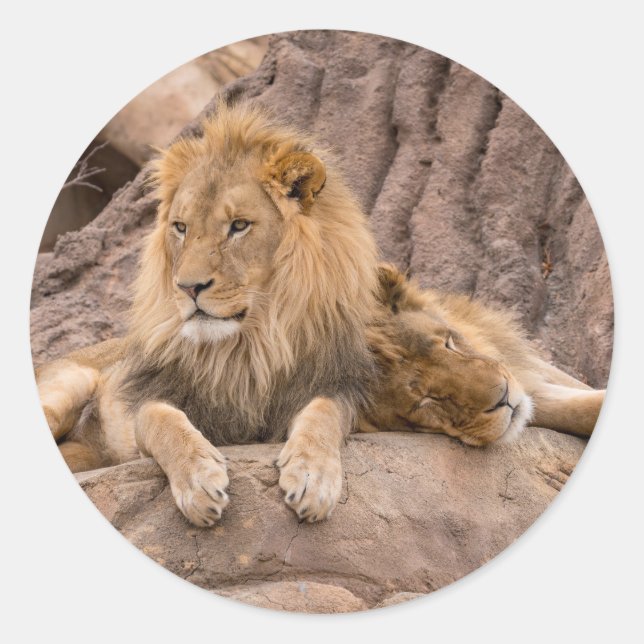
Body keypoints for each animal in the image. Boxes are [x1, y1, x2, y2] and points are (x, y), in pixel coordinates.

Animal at [36, 101, 380, 526]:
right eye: (181, 227)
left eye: (239, 225)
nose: (188, 287)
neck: (250, 345)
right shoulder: (151, 395)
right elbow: (163, 422)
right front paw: (199, 480)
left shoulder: (333, 384)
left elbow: (324, 416)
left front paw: (312, 478)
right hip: (72, 381)